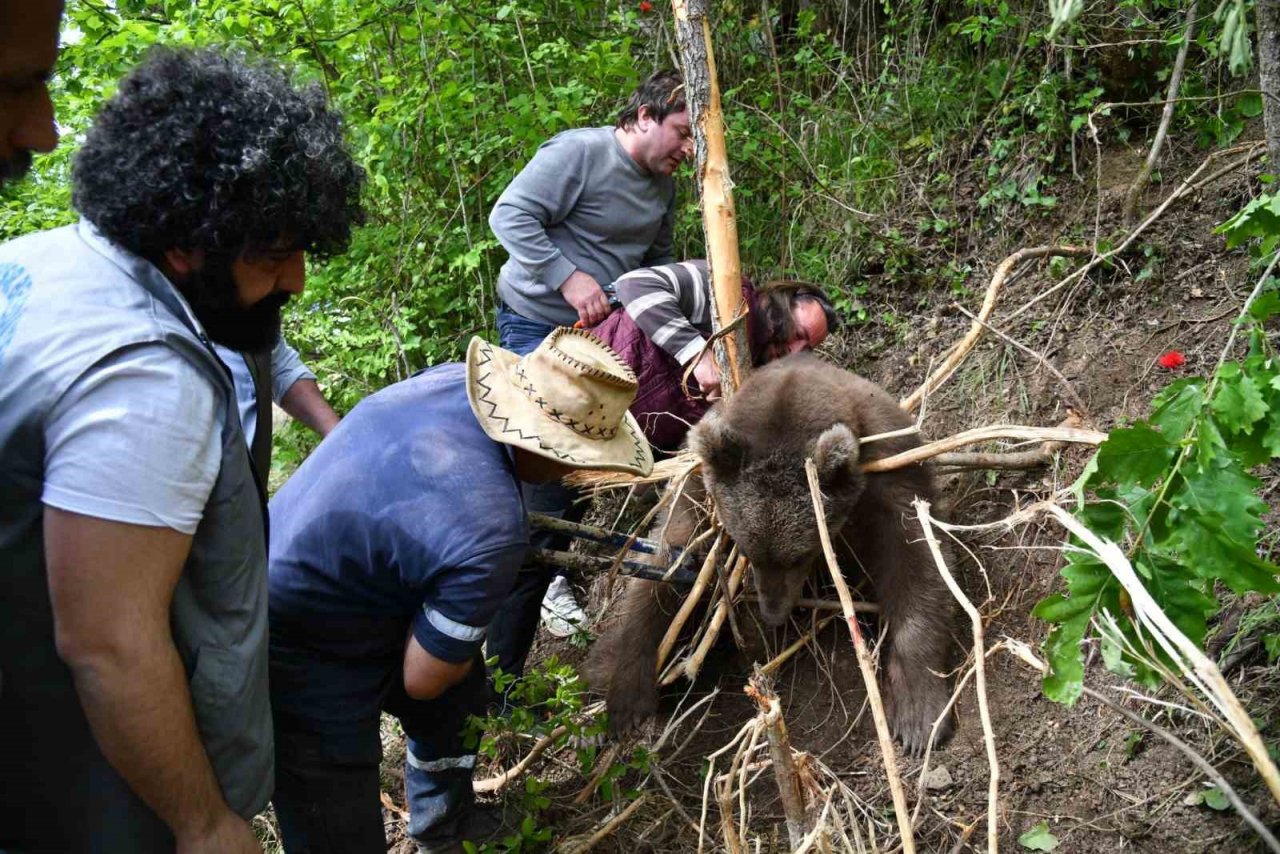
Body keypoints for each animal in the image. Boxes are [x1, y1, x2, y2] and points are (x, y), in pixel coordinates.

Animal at [586, 353, 957, 752]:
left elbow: (917, 558)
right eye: (748, 551)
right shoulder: (701, 491)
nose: (773, 613)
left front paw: (919, 714)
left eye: (800, 555)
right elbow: (665, 563)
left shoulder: (888, 465)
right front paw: (624, 695)